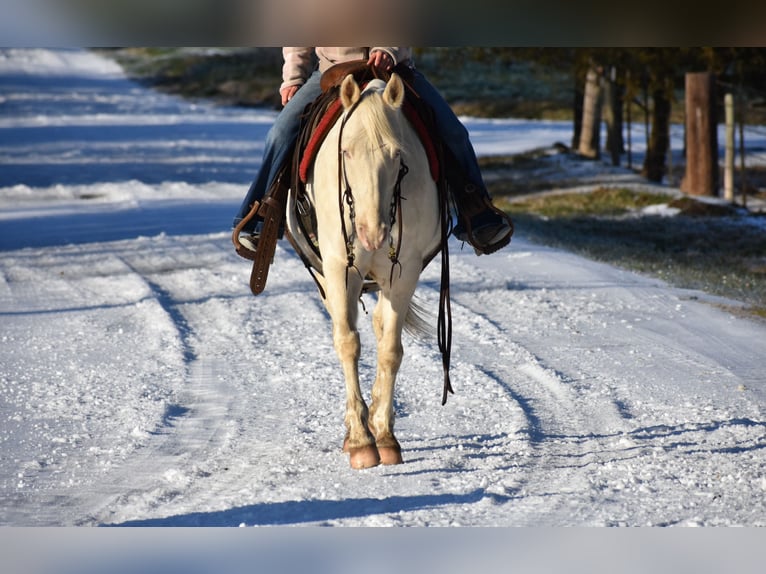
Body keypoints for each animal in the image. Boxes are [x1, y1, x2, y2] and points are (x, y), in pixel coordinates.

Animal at [290, 73, 443, 469]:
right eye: (346, 152)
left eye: (397, 155)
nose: (372, 233)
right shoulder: (339, 269)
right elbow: (347, 343)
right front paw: (360, 441)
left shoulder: (403, 273)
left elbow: (390, 349)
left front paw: (384, 435)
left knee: (378, 324)